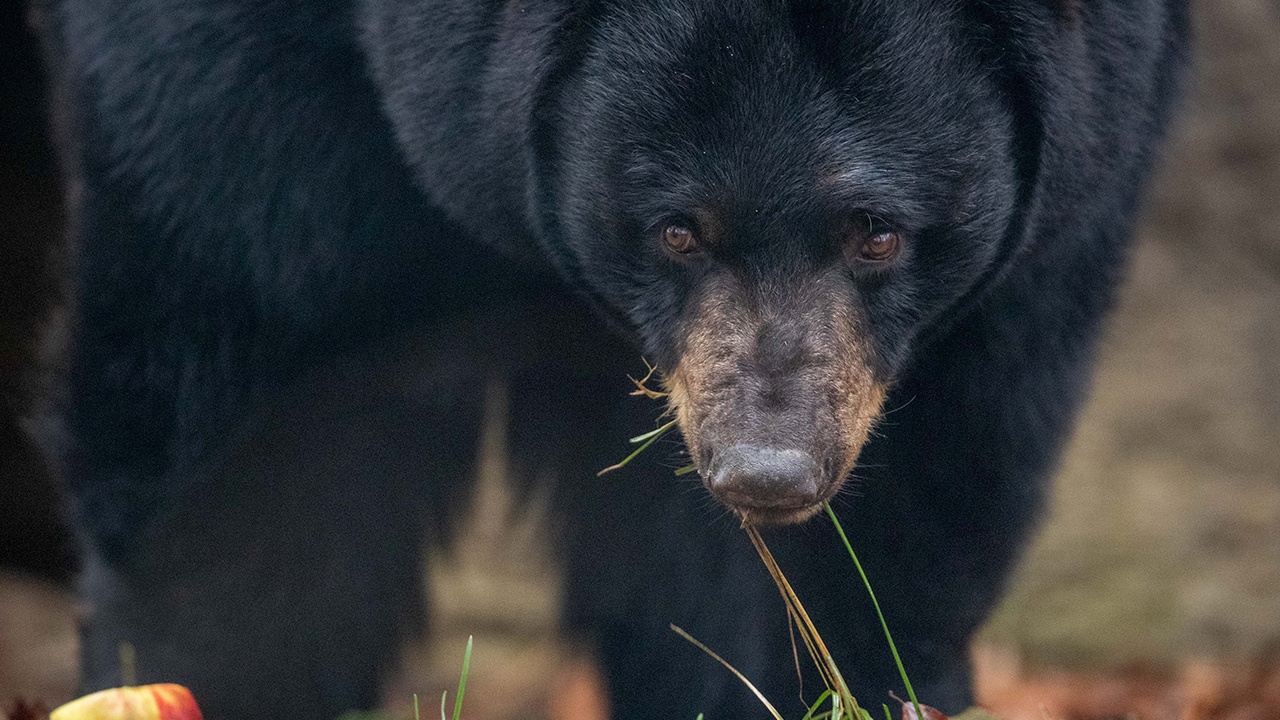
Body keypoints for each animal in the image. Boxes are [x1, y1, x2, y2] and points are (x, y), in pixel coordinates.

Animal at [37, 0, 1189, 718]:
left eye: (877, 232)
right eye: (678, 230)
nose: (768, 469)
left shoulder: (1080, 166)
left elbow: (910, 503)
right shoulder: (246, 88)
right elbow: (252, 398)